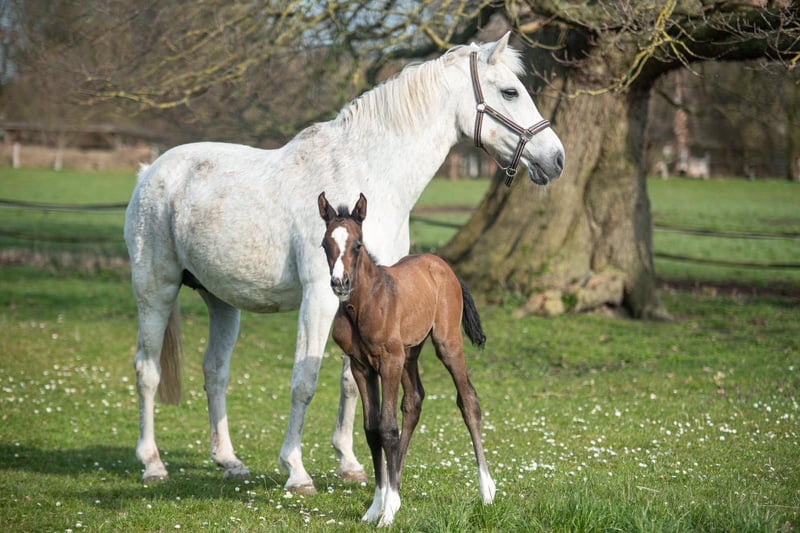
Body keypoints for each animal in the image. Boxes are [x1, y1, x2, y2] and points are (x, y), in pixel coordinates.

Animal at [124, 32, 564, 492]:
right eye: (510, 92)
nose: (556, 159)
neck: (366, 172)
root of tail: (149, 171)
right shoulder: (320, 297)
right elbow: (304, 381)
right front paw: (296, 470)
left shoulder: (366, 299)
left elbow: (351, 383)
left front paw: (349, 463)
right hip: (155, 289)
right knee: (147, 370)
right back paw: (153, 463)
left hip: (221, 300)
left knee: (215, 372)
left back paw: (229, 461)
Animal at [318, 192, 495, 526]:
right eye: (324, 244)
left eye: (358, 244)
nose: (339, 283)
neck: (365, 303)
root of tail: (442, 265)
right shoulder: (362, 366)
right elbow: (371, 429)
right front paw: (377, 506)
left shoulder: (388, 361)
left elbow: (388, 428)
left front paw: (387, 513)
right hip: (409, 354)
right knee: (414, 400)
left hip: (446, 344)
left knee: (468, 401)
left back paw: (487, 490)